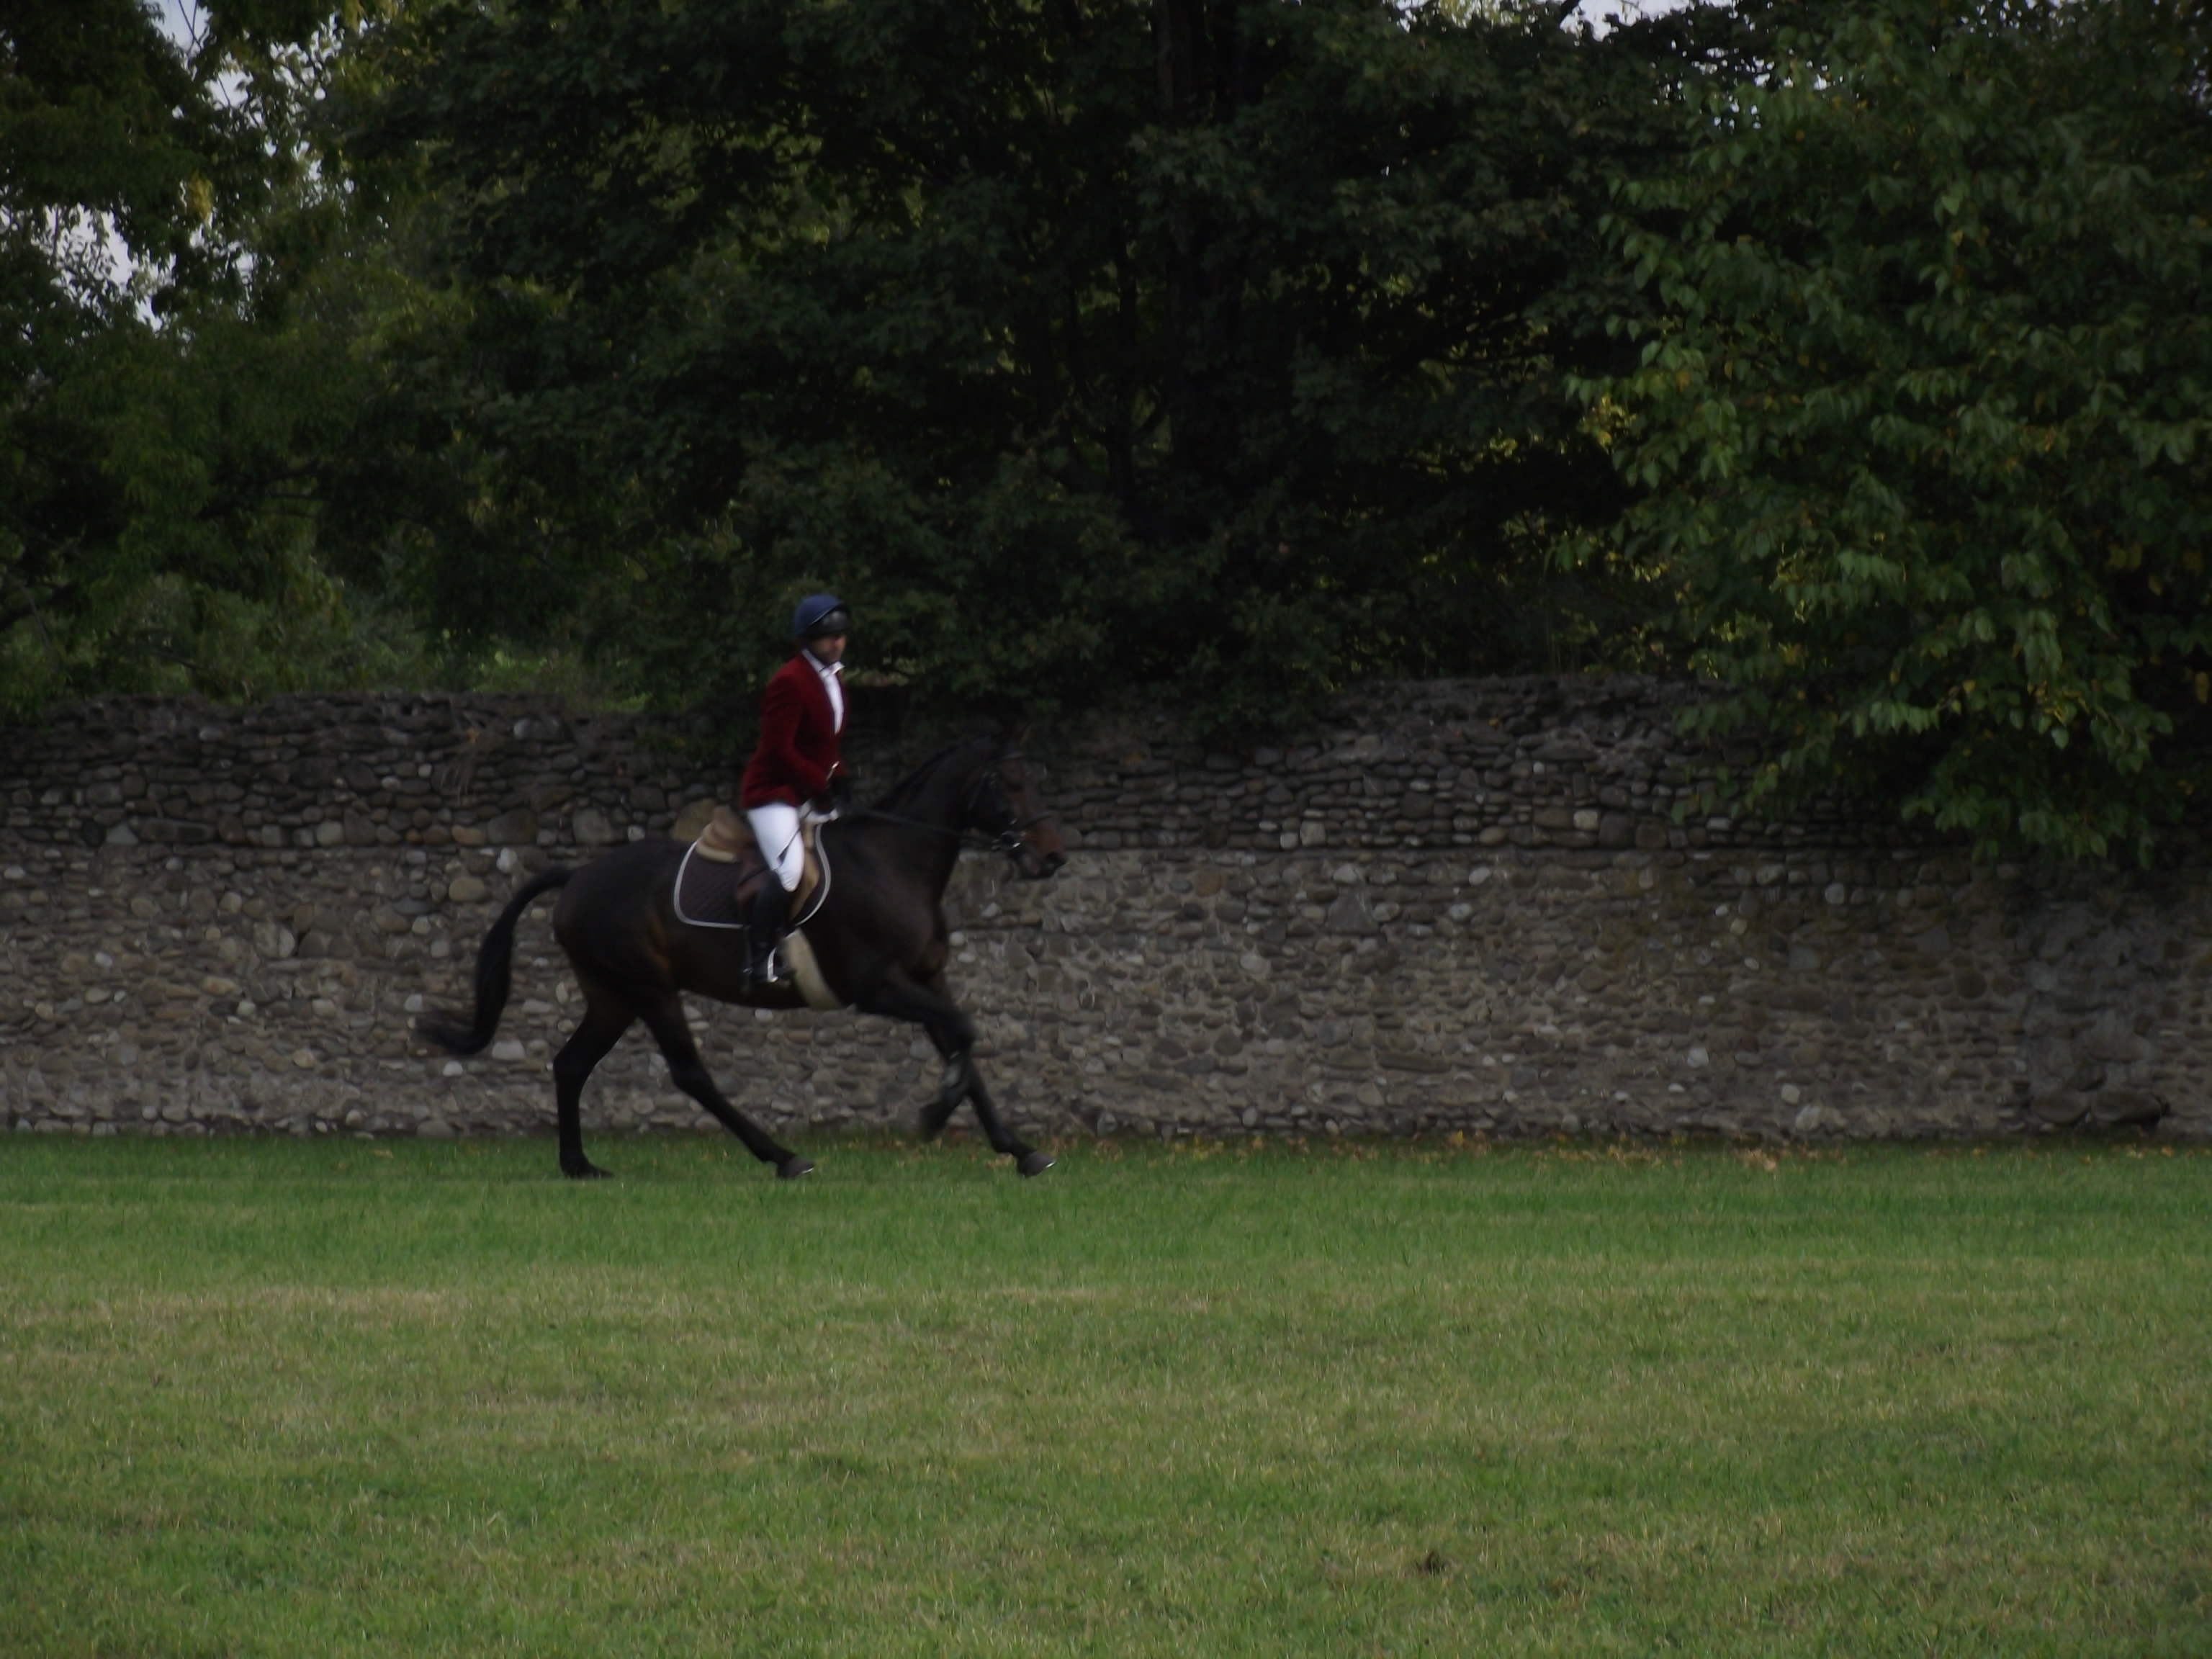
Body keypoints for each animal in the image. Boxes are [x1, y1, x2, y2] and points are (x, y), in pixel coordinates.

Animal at [420, 739, 1070, 1185]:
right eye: (1012, 785)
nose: (1053, 858)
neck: (892, 862)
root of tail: (578, 876)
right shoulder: (879, 986)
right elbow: (965, 1033)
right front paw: (938, 1111)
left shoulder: (926, 978)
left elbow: (963, 1043)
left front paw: (1019, 1149)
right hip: (650, 989)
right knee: (690, 1075)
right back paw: (783, 1157)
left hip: (613, 996)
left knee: (571, 1064)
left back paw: (579, 1164)